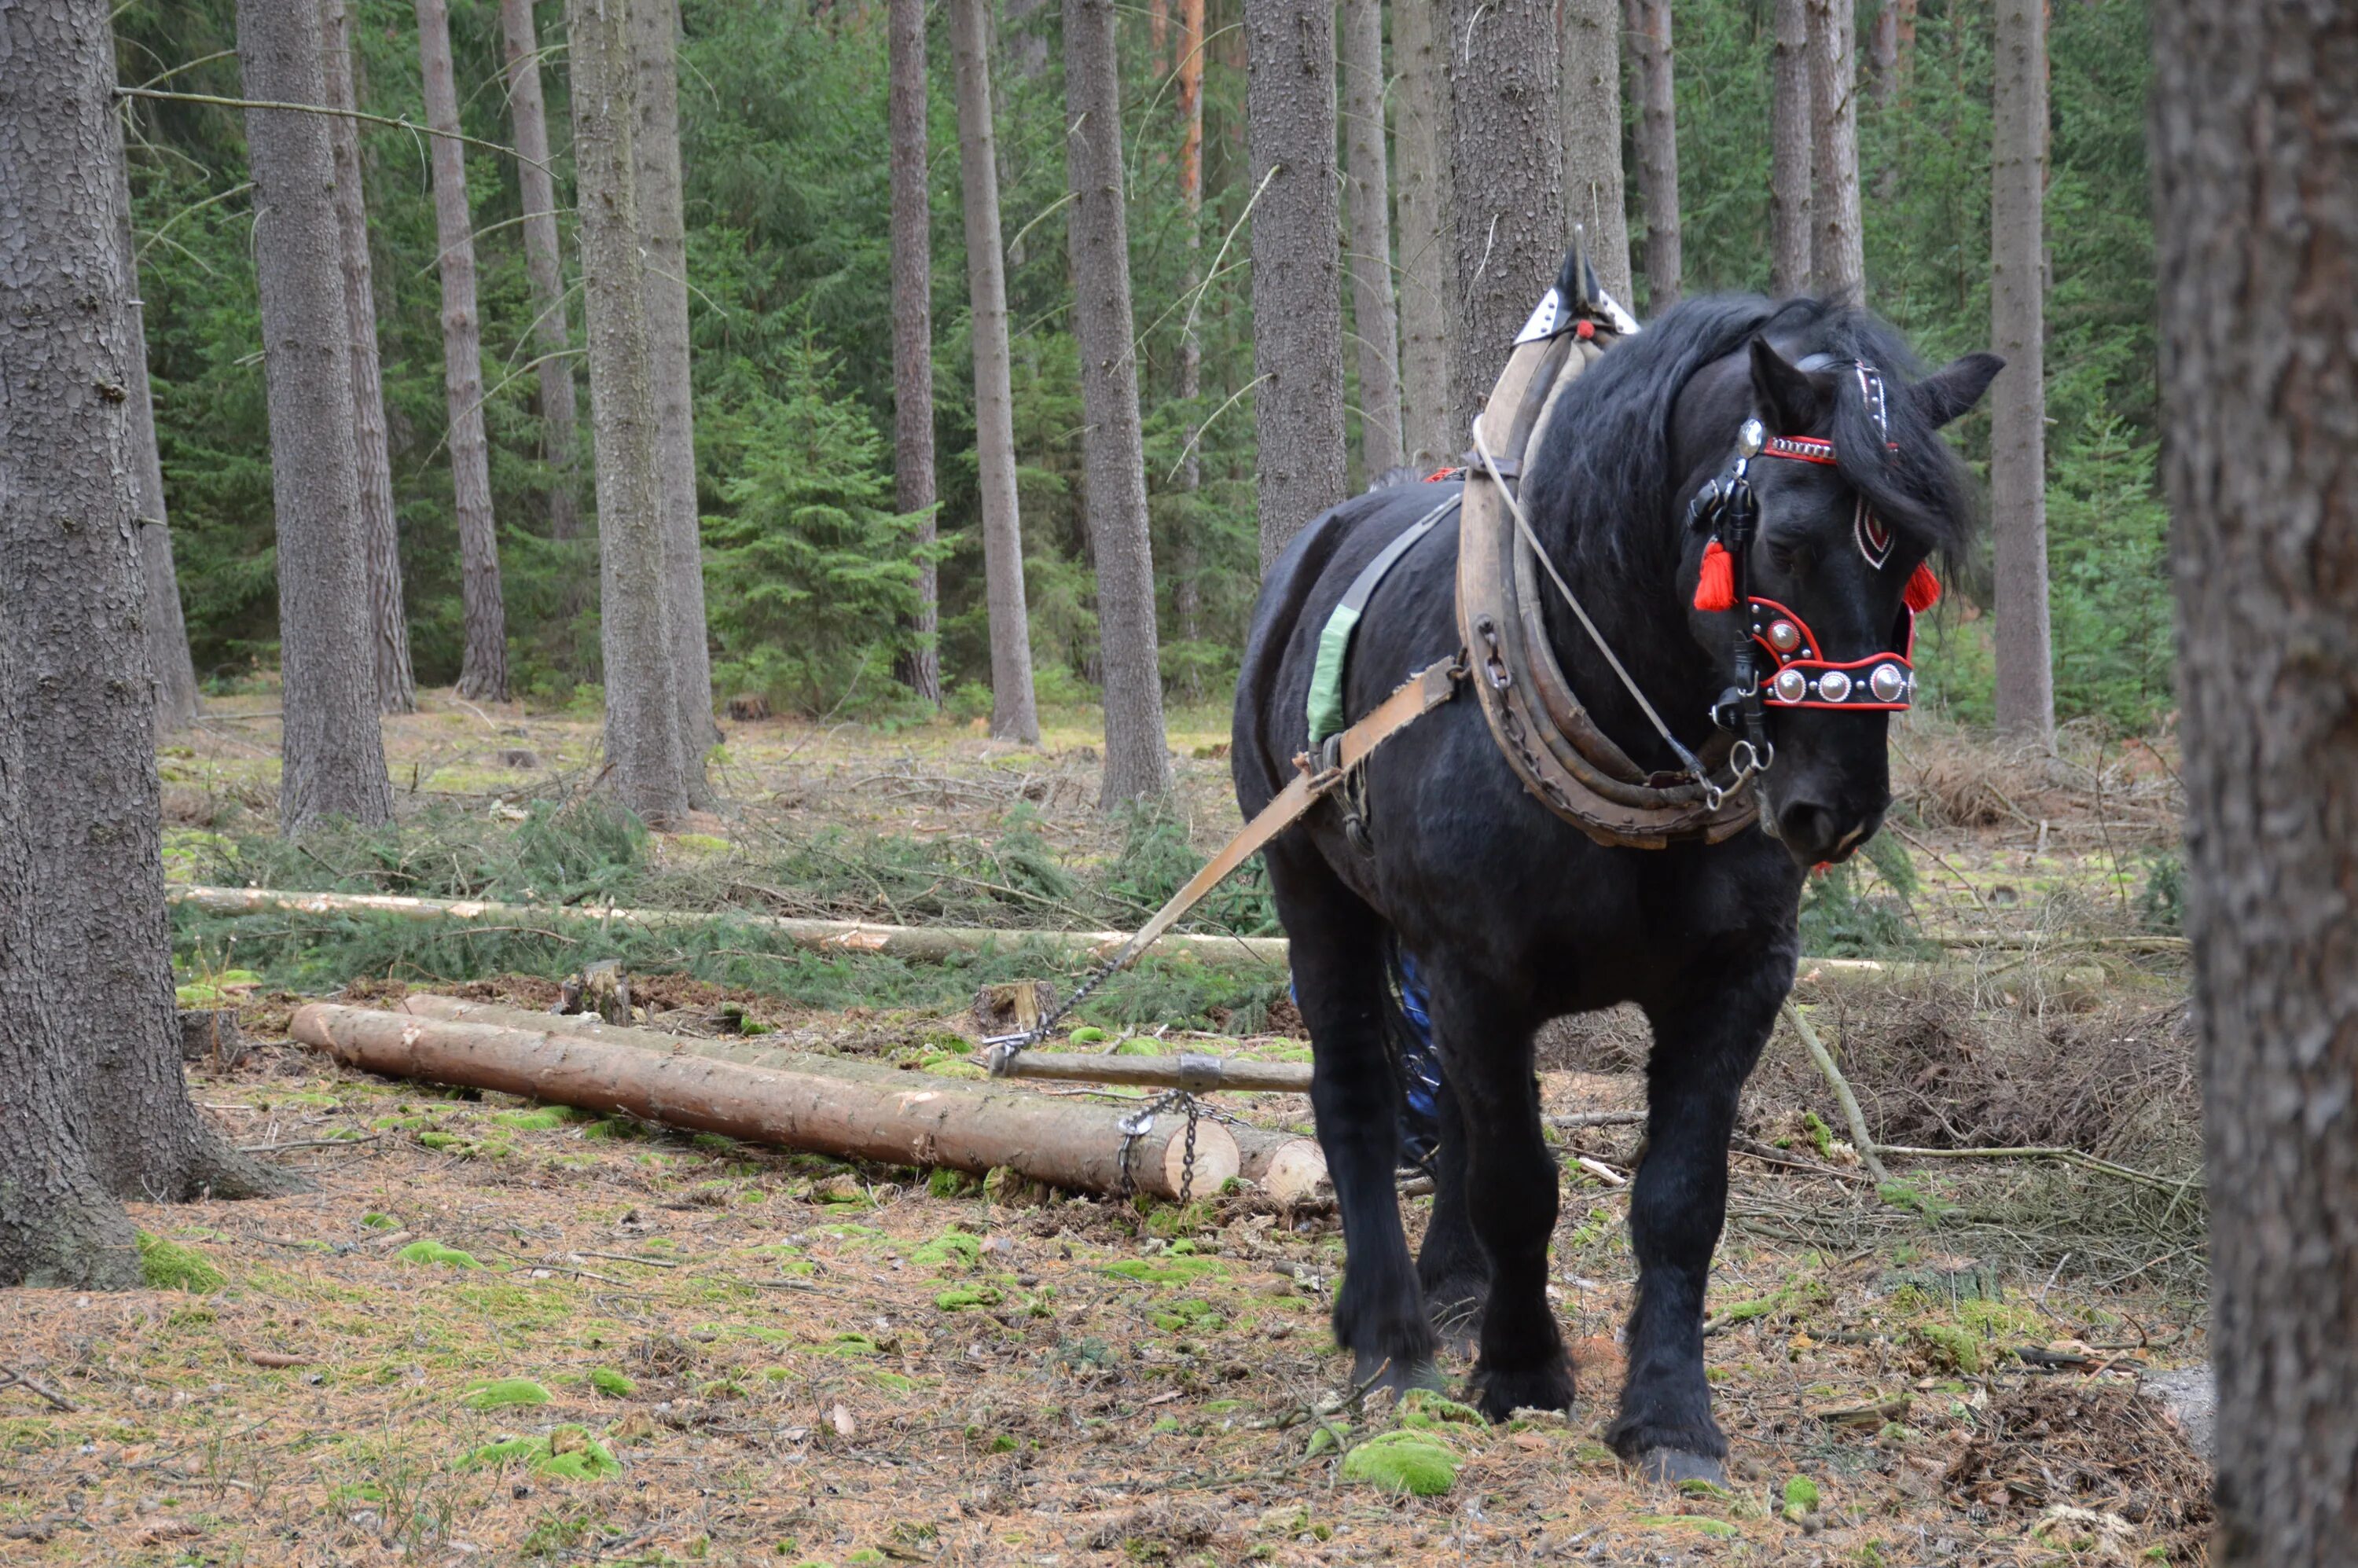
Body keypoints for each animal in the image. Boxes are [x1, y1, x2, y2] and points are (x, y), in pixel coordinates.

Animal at [1236, 297, 1990, 1481]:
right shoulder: (1478, 970)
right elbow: (1518, 1180)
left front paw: (1671, 1413)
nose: (1837, 808)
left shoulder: (1737, 976)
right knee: (1355, 1088)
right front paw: (1522, 1370)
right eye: (1785, 538)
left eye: (1911, 560)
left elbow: (1678, 1197)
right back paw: (1390, 1335)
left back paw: (1453, 1286)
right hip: (1312, 885)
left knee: (1449, 1108)